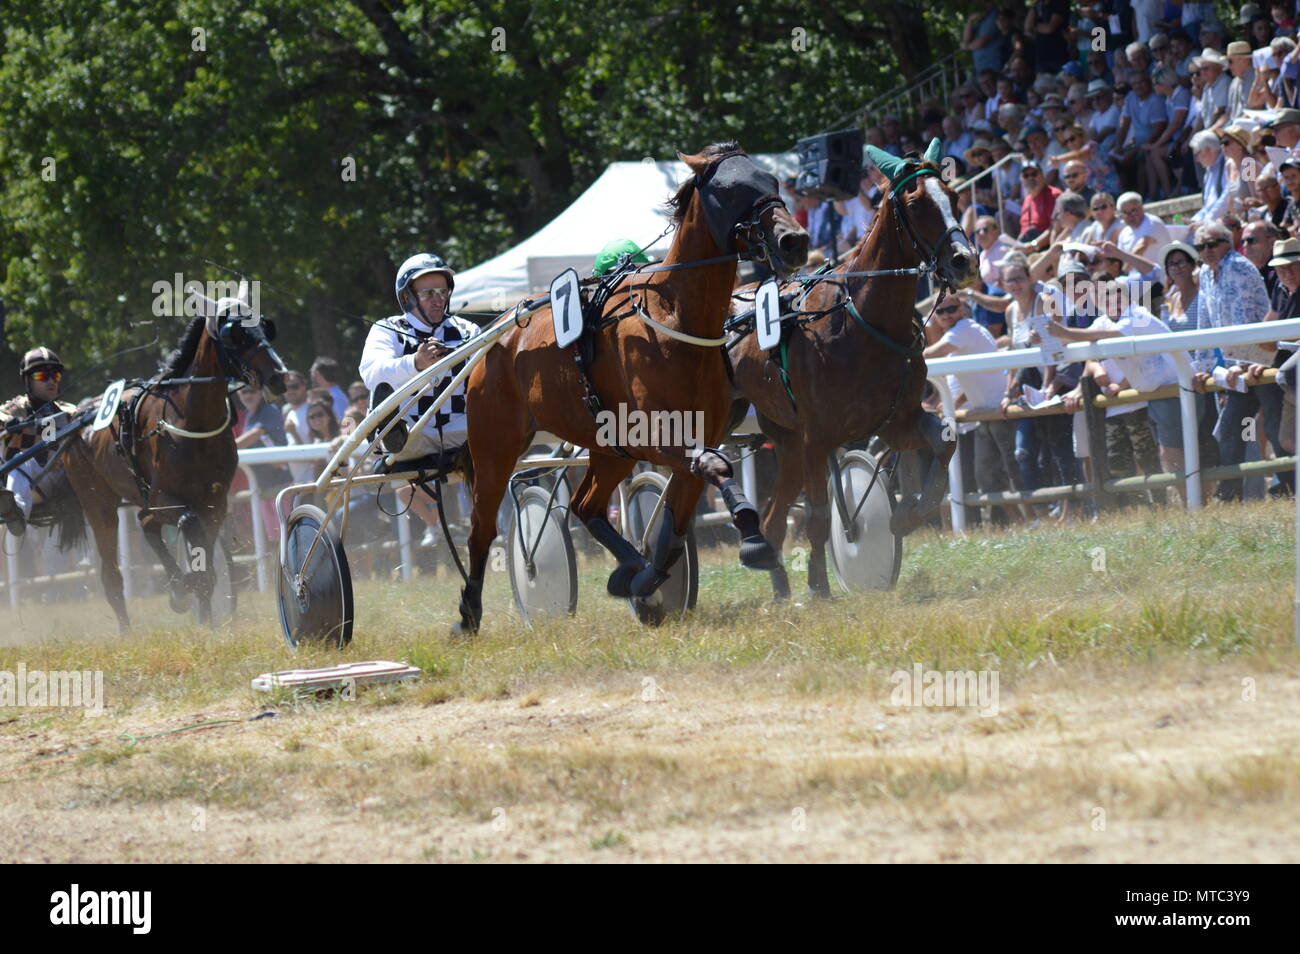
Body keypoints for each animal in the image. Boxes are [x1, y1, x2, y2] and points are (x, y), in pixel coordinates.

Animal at [64, 293, 287, 634]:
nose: (278, 377)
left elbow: (204, 555)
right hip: (97, 502)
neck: (192, 421)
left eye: (266, 326)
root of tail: (78, 417)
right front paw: (188, 588)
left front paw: (206, 619)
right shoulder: (165, 497)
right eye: (235, 334)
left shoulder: (215, 501)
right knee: (112, 574)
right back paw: (127, 631)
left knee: (145, 523)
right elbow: (190, 525)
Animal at [452, 141, 806, 634]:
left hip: (608, 449)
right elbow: (714, 468)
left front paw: (643, 582)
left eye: (772, 181)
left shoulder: (695, 434)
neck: (676, 317)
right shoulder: (654, 436)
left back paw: (628, 570)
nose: (794, 241)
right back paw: (468, 614)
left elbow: (675, 526)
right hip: (495, 448)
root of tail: (495, 340)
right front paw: (753, 539)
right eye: (729, 189)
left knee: (586, 506)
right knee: (481, 529)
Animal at [728, 138, 977, 600]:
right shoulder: (817, 436)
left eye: (953, 198)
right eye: (916, 203)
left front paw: (908, 512)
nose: (964, 261)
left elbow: (946, 438)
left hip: (785, 440)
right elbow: (819, 516)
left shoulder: (895, 419)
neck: (861, 320)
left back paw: (780, 587)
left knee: (771, 522)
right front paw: (820, 588)